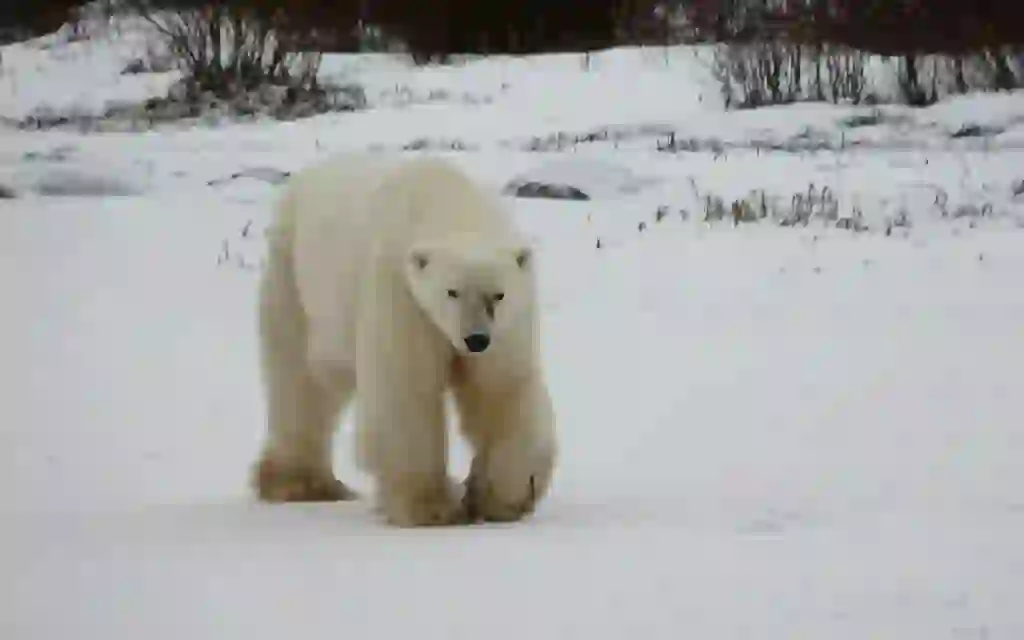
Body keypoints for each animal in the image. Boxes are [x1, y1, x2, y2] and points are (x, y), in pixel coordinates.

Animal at [250, 152, 557, 528]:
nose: (475, 339)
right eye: (452, 292)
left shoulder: (510, 322)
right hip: (295, 281)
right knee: (302, 381)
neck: (449, 202)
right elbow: (406, 389)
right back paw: (299, 484)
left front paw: (501, 497)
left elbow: (501, 389)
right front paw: (433, 507)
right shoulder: (400, 291)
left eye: (497, 295)